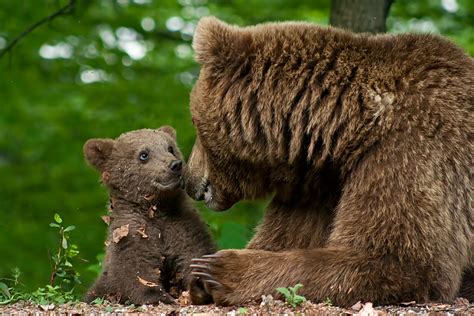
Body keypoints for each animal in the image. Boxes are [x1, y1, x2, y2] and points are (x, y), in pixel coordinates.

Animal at [184, 16, 470, 306]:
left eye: (194, 124)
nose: (189, 180)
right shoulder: (319, 187)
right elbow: (286, 236)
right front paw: (199, 278)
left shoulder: (410, 152)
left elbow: (402, 260)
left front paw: (219, 270)